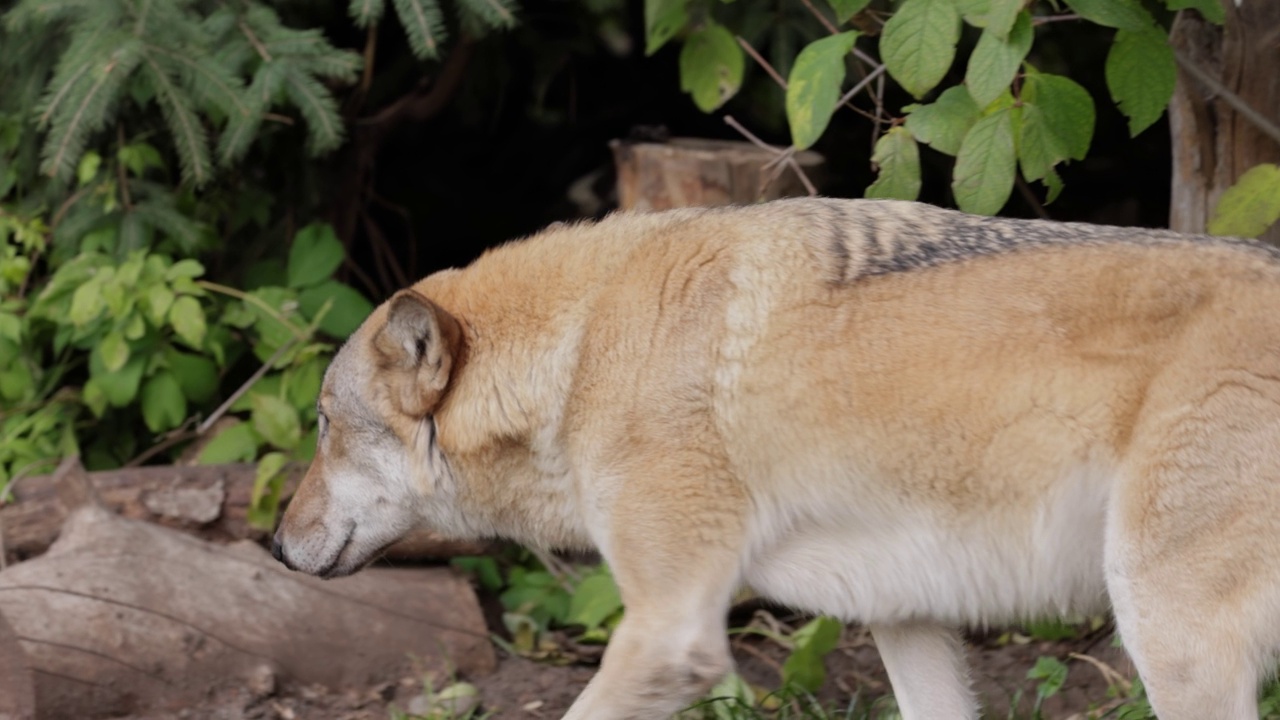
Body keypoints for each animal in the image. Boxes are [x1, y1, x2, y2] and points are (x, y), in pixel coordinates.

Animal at [275, 197, 1280, 717]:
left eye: (323, 425)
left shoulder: (669, 634)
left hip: (1167, 637)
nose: (277, 547)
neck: (586, 347)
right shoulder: (907, 617)